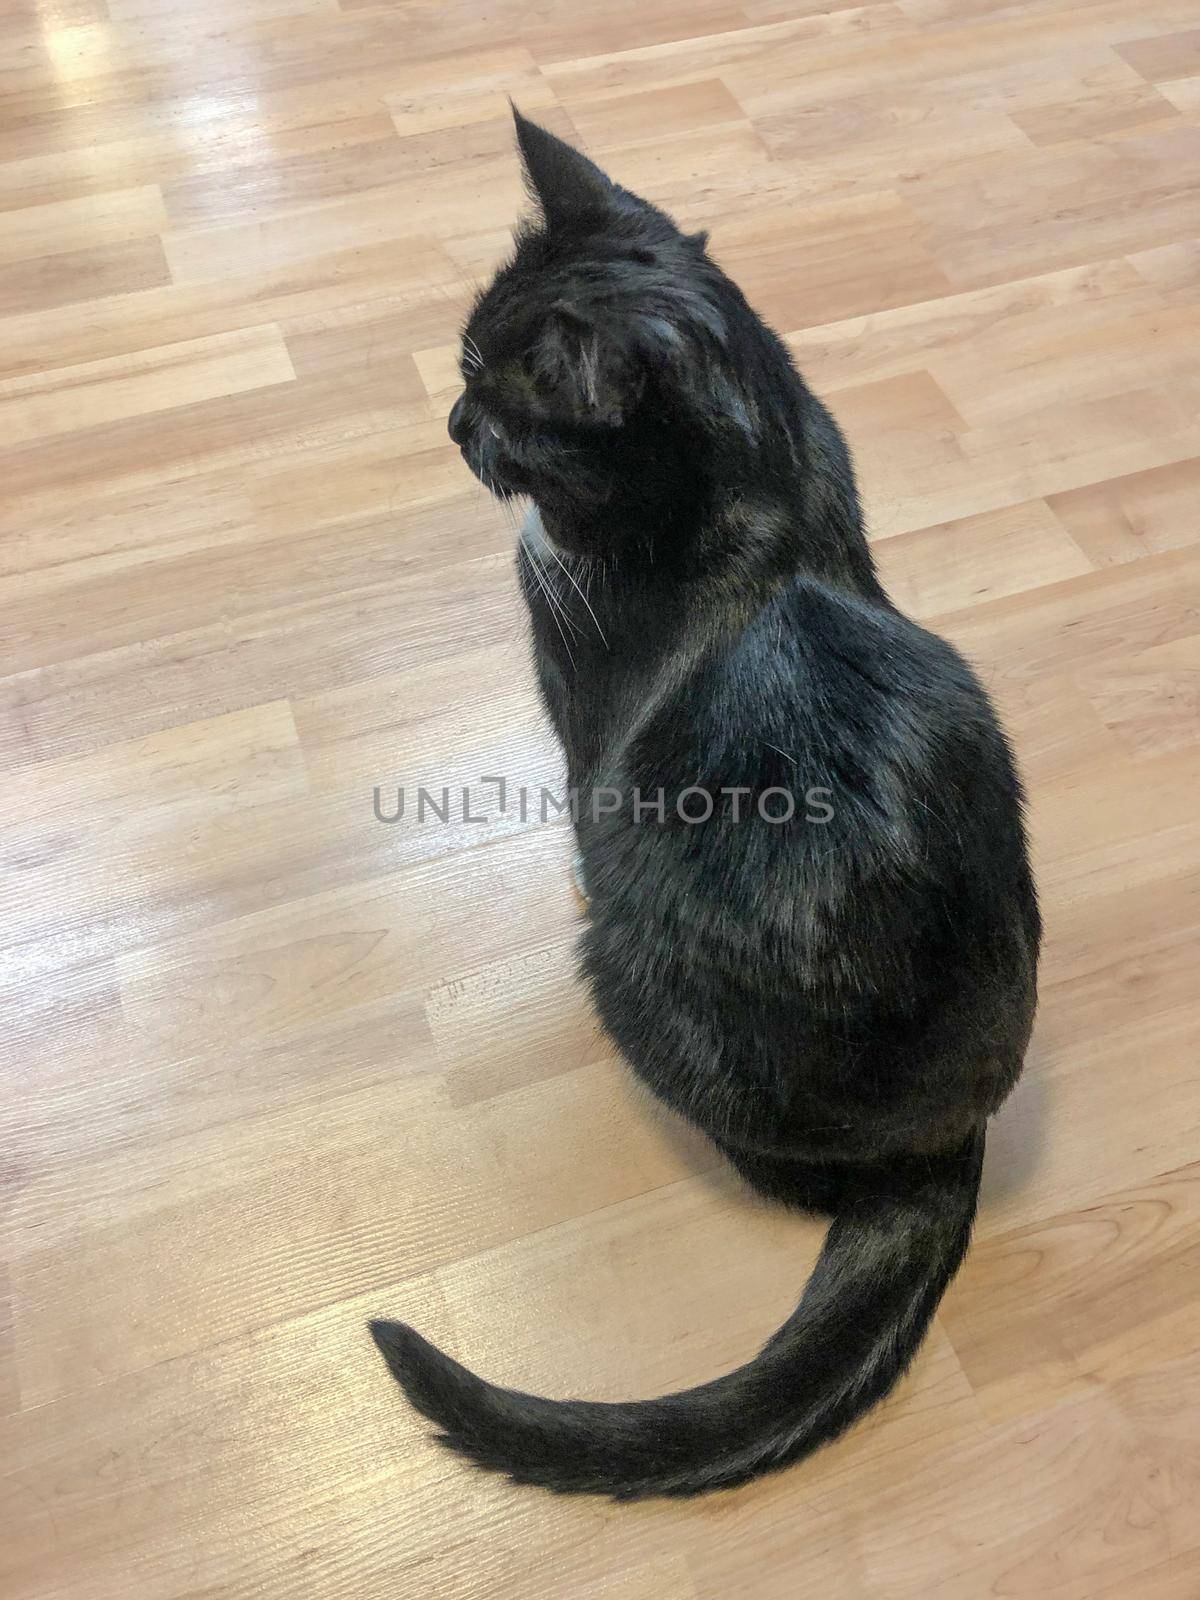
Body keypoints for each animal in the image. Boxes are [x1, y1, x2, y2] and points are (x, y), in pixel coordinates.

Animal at [369, 112, 1043, 1497]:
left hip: (630, 979)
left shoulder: (577, 716)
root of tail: (943, 1150)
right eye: (461, 359)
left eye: (499, 396)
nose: (452, 418)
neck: (764, 492)